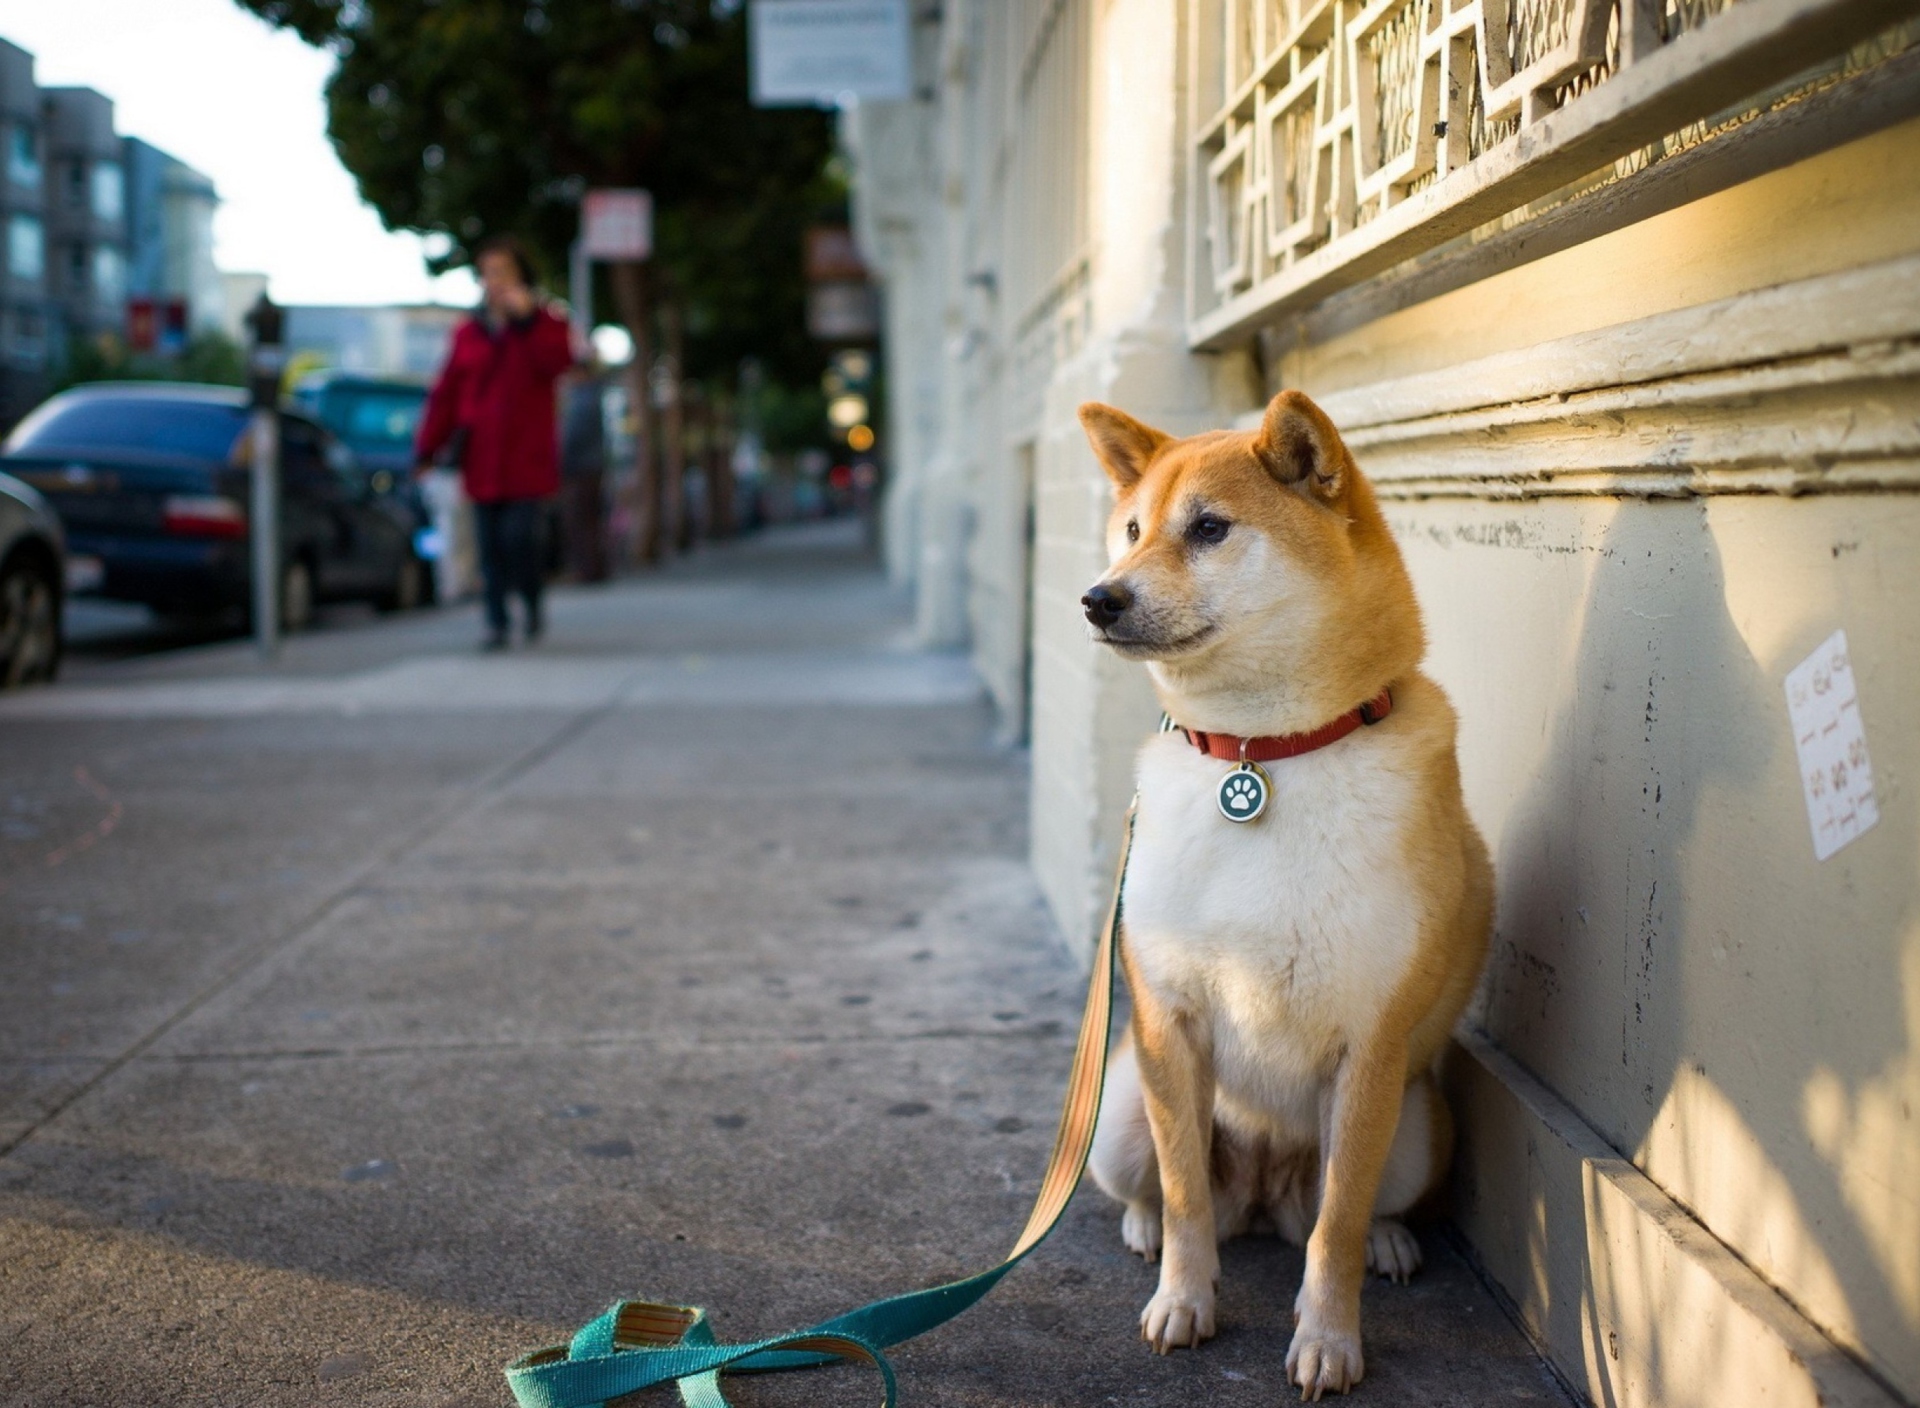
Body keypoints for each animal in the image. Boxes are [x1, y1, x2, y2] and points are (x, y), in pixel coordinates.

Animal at [1075, 388, 1489, 1398]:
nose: (1099, 597)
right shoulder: (1170, 1022)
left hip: (1419, 1125)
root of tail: (1263, 1196)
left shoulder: (1371, 1049)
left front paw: (1330, 1340)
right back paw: (1144, 1228)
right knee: (1168, 1188)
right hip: (1119, 1111)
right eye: (1133, 530)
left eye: (1208, 529)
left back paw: (1389, 1241)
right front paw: (1184, 1299)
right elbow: (1186, 1191)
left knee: (1344, 1212)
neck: (1261, 756)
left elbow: (1336, 1225)